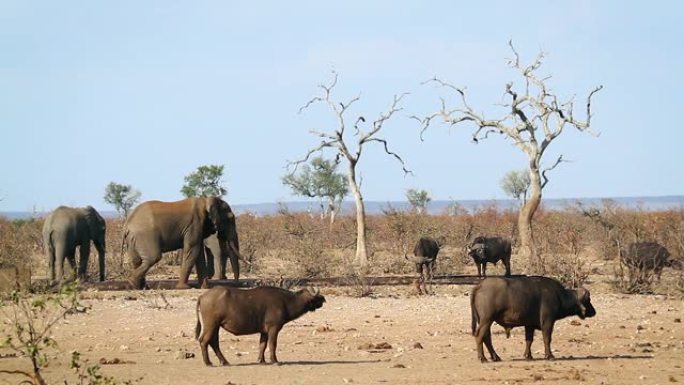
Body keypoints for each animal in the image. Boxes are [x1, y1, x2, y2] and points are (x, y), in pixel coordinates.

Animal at [195, 284, 326, 366]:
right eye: (316, 298)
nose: (323, 299)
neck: (286, 301)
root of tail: (202, 296)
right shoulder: (274, 328)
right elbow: (272, 344)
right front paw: (274, 360)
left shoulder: (264, 331)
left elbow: (262, 345)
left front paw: (261, 360)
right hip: (211, 325)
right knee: (204, 341)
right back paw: (208, 362)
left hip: (216, 326)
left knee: (214, 342)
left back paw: (224, 361)